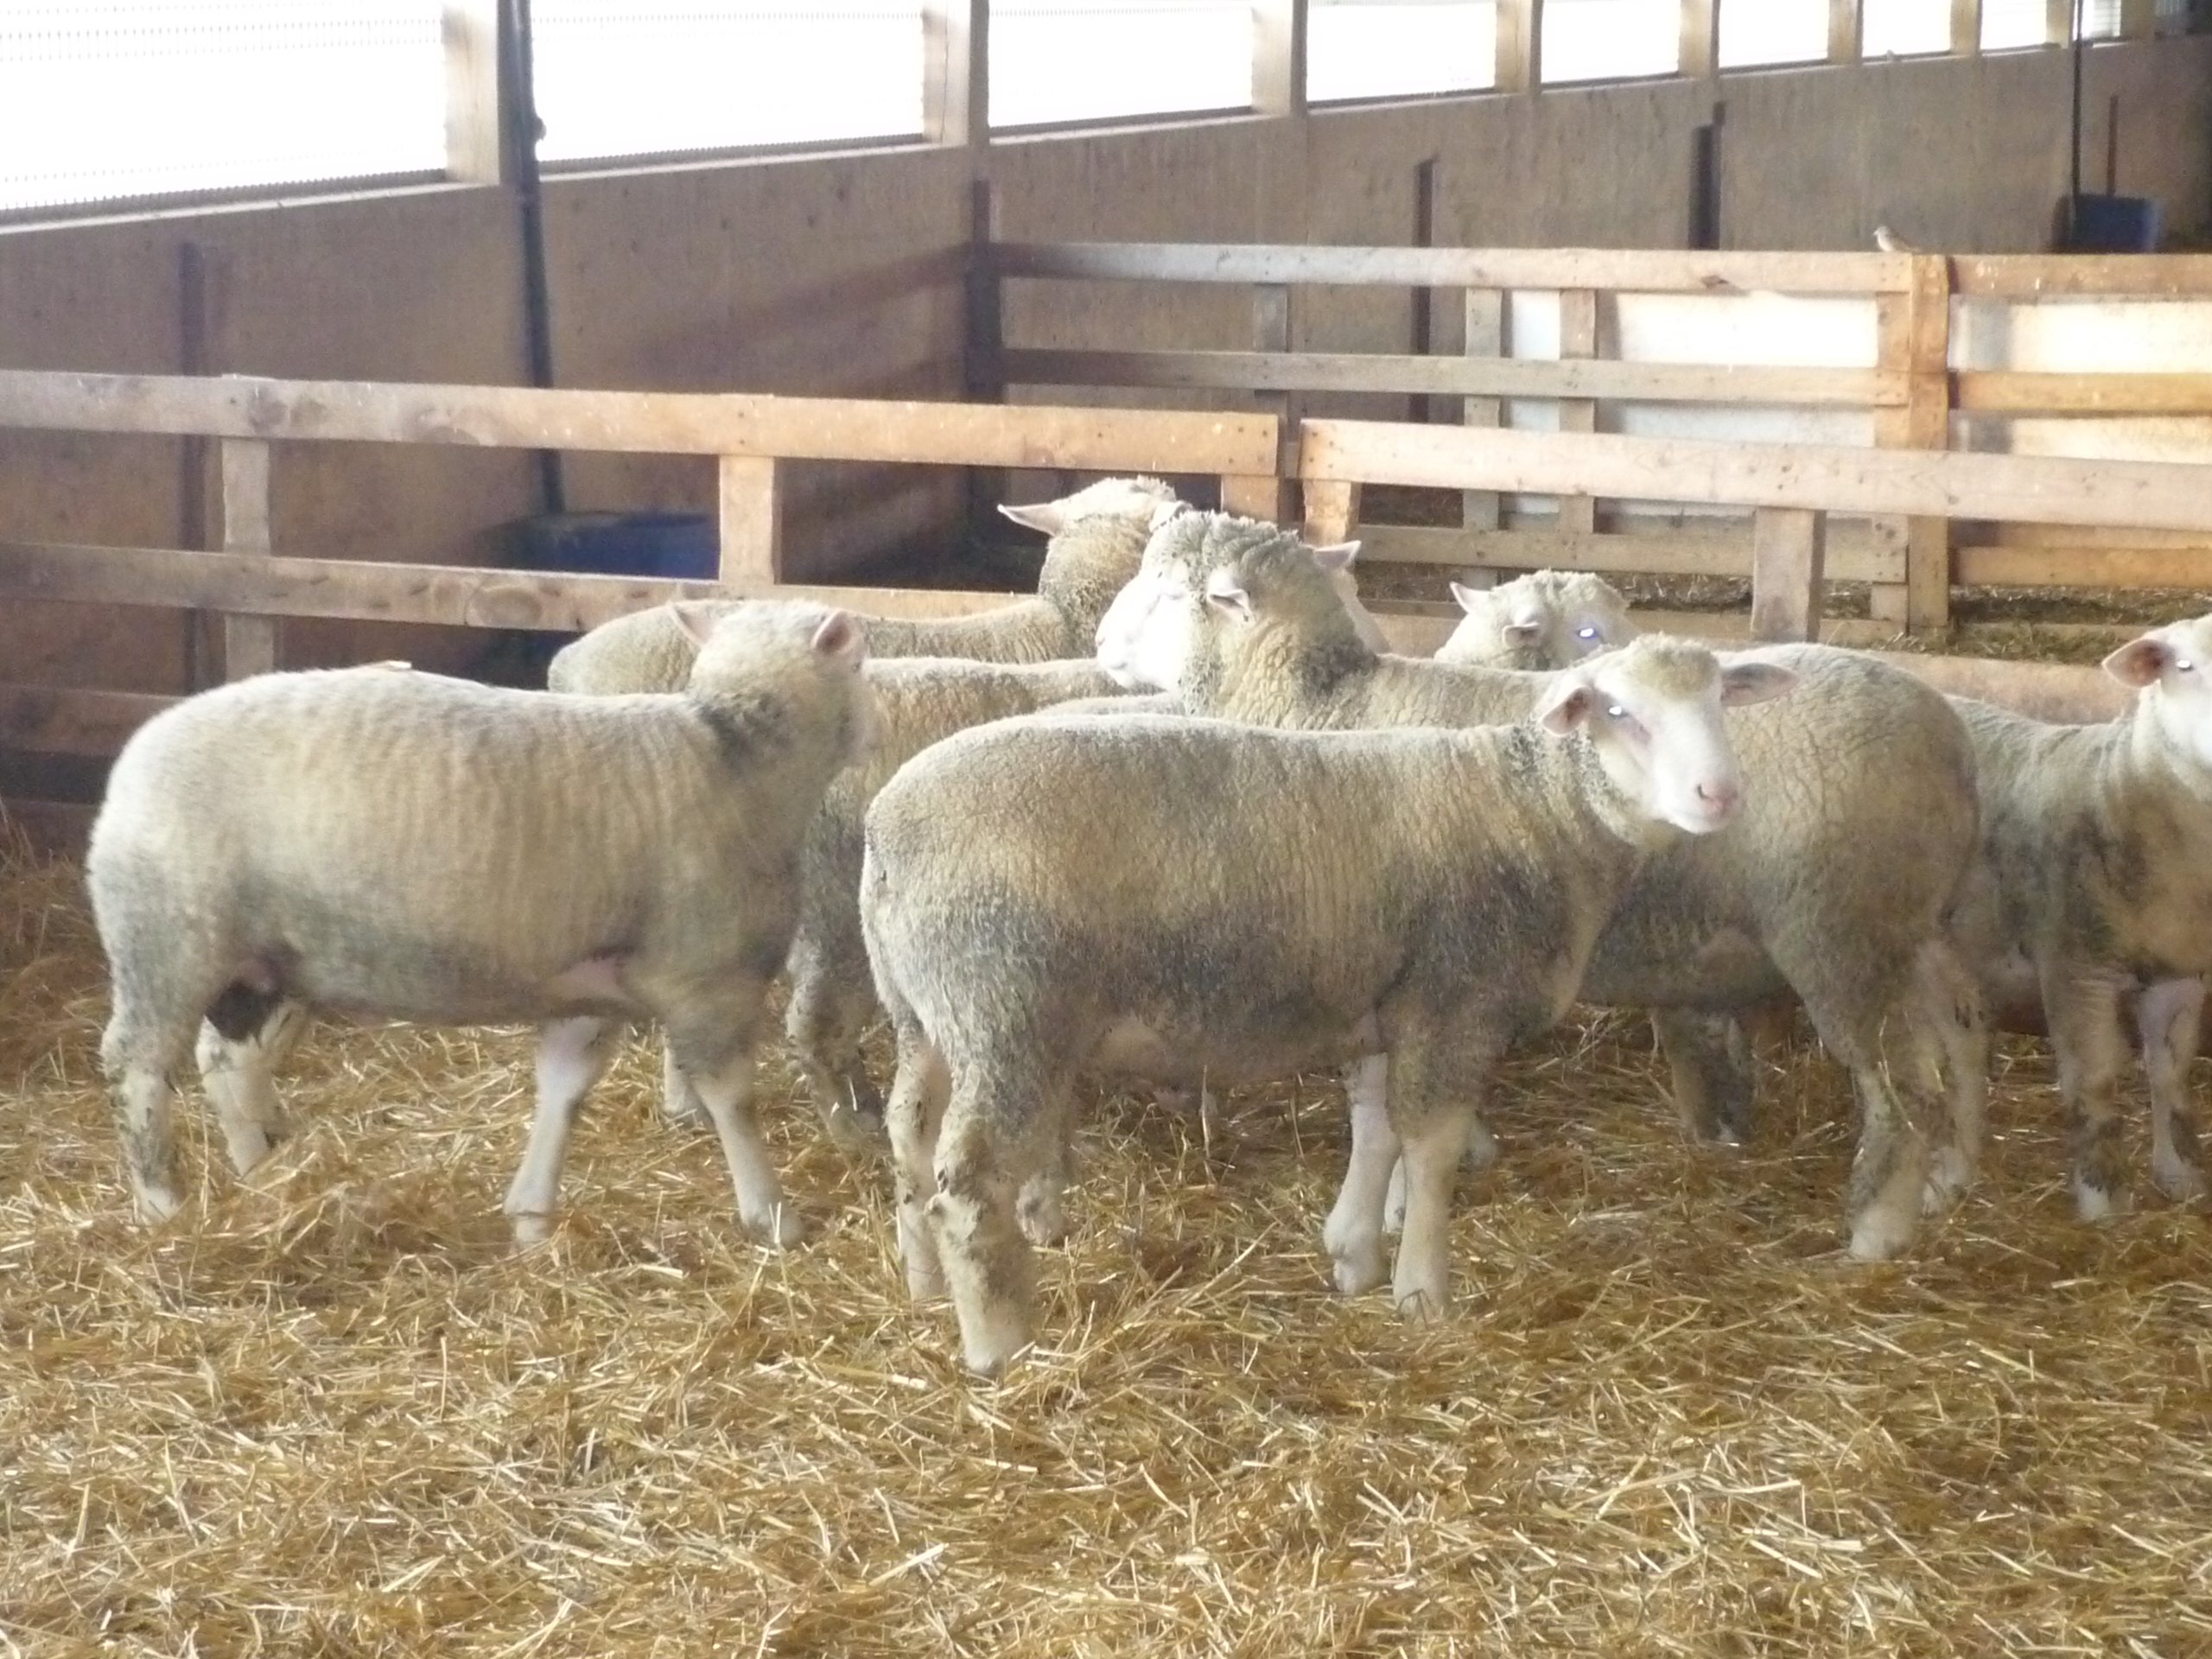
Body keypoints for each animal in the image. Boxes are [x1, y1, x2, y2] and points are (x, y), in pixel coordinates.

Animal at [87, 601, 874, 1247]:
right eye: (860, 663)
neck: (735, 748)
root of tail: (134, 759)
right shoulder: (709, 977)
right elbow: (733, 1100)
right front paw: (773, 1216)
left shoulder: (589, 985)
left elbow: (563, 1091)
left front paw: (530, 1217)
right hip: (167, 938)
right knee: (138, 1065)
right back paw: (162, 1205)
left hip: (252, 961)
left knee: (226, 1059)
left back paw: (261, 1177)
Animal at [862, 637, 1791, 1372]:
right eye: (1620, 711)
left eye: (1719, 701)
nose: (1720, 794)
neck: (1538, 811)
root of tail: (887, 828)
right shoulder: (1455, 1001)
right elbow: (1430, 1147)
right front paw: (1424, 1293)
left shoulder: (1391, 1003)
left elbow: (1374, 1127)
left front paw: (1353, 1255)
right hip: (1005, 1009)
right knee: (969, 1183)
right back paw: (999, 1343)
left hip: (925, 1013)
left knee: (908, 1134)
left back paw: (921, 1282)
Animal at [1943, 616, 2212, 1217]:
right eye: (2182, 666)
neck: (2118, 785)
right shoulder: (2074, 965)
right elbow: (2095, 1082)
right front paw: (2103, 1203)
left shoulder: (2182, 973)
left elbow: (2172, 1077)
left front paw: (2183, 1178)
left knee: (1964, 1051)